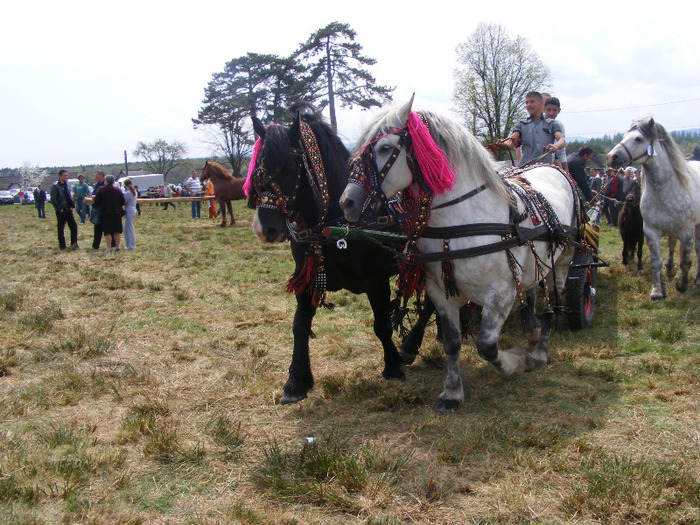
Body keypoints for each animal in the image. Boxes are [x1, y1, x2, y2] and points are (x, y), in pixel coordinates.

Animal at [250, 103, 422, 406]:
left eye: (287, 167)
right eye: (258, 171)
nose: (263, 228)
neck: (335, 223)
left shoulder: (376, 281)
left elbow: (381, 325)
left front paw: (392, 366)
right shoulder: (307, 278)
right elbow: (299, 326)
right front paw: (296, 381)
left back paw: (411, 346)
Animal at [340, 98, 580, 410]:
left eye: (384, 148)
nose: (347, 202)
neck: (464, 222)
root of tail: (552, 168)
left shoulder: (501, 294)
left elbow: (487, 346)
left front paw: (516, 362)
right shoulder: (442, 293)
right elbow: (452, 343)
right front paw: (452, 392)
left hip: (563, 259)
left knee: (555, 301)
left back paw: (540, 351)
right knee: (533, 291)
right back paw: (532, 331)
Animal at [608, 117, 700, 300]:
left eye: (638, 138)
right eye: (624, 136)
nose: (611, 157)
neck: (666, 190)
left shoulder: (687, 231)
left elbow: (685, 262)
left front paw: (682, 285)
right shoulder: (651, 230)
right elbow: (656, 261)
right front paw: (657, 292)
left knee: (698, 250)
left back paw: (697, 280)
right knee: (671, 244)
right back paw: (670, 270)